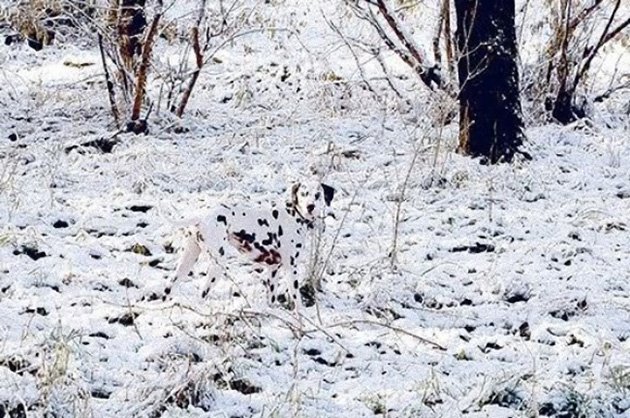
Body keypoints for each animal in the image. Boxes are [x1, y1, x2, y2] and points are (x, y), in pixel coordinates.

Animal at [168, 180, 336, 314]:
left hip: (185, 264)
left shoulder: (273, 271)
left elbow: (271, 299)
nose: (310, 206)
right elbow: (297, 299)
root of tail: (201, 217)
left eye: (317, 195)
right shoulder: (291, 269)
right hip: (217, 267)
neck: (294, 215)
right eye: (303, 194)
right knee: (202, 294)